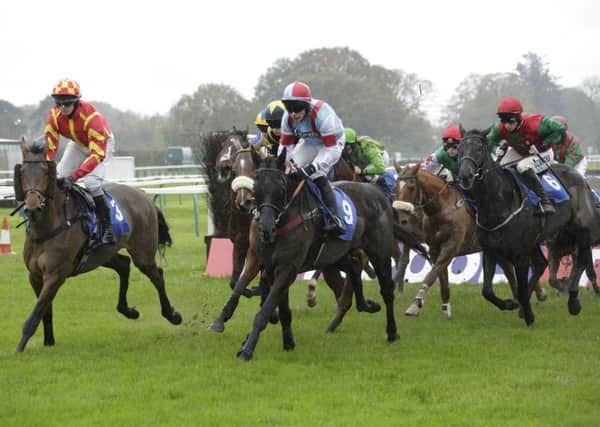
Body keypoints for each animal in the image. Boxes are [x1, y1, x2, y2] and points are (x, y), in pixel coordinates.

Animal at [11, 142, 180, 352]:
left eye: (44, 171)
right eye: (22, 172)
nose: (32, 208)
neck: (47, 227)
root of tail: (143, 195)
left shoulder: (55, 275)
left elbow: (35, 313)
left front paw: (19, 348)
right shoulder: (35, 275)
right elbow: (44, 311)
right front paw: (49, 342)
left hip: (143, 253)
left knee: (157, 275)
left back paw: (172, 315)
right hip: (103, 254)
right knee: (124, 264)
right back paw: (127, 310)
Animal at [234, 150, 408, 362]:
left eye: (281, 187)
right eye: (256, 186)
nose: (265, 228)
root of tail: (378, 193)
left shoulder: (287, 268)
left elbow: (265, 310)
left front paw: (247, 349)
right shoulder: (272, 268)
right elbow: (282, 310)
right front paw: (288, 342)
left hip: (379, 253)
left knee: (387, 291)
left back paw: (392, 331)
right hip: (338, 254)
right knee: (354, 267)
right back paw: (365, 305)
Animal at [392, 164, 548, 318]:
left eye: (411, 186)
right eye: (395, 188)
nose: (402, 220)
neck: (442, 208)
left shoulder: (451, 246)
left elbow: (432, 274)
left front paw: (415, 304)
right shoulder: (435, 249)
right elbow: (442, 278)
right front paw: (445, 308)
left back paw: (534, 295)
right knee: (509, 269)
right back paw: (522, 298)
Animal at [460, 127, 596, 324]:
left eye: (479, 149)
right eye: (460, 149)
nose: (465, 175)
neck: (499, 203)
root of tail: (581, 178)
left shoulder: (519, 254)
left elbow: (522, 289)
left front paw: (529, 316)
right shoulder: (490, 250)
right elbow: (487, 291)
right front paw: (511, 304)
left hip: (581, 230)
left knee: (582, 260)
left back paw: (573, 302)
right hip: (541, 240)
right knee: (542, 264)